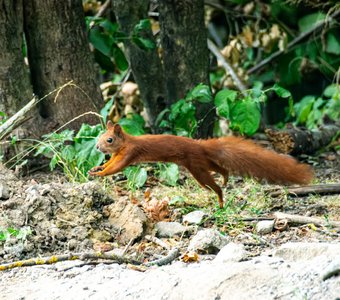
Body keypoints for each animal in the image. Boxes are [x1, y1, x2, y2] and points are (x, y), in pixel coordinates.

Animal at [88, 120, 314, 207]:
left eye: (109, 139)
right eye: (100, 136)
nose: (97, 147)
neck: (125, 143)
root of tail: (199, 145)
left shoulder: (129, 153)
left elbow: (116, 168)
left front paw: (99, 174)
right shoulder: (117, 156)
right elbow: (110, 165)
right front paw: (97, 168)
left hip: (196, 167)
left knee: (214, 185)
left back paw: (221, 200)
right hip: (199, 163)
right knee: (220, 168)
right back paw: (225, 179)